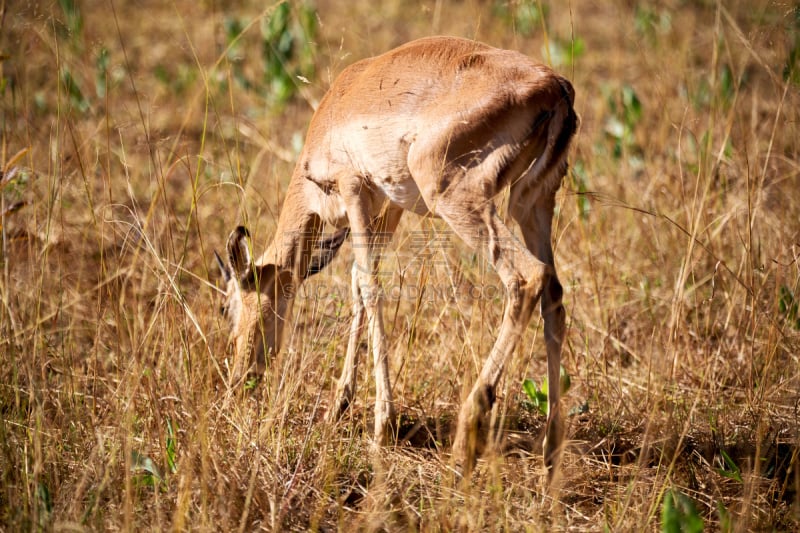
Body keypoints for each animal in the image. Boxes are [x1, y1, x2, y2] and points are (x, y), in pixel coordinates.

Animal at [216, 36, 580, 474]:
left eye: (226, 307)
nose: (238, 381)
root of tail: (556, 86)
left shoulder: (354, 189)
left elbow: (370, 288)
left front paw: (381, 425)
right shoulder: (388, 209)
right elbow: (357, 285)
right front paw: (338, 405)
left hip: (457, 197)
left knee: (528, 278)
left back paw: (467, 433)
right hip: (532, 203)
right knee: (554, 294)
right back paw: (551, 451)